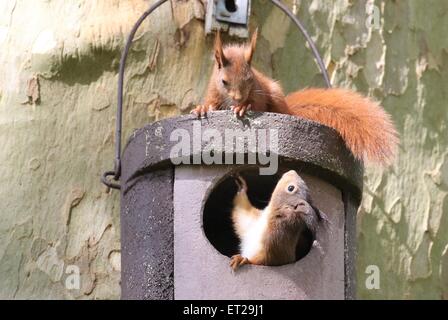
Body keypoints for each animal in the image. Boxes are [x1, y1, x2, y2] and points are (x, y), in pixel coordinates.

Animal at [192, 28, 400, 166]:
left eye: (250, 79)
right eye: (224, 81)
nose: (238, 98)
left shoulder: (259, 91)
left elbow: (256, 103)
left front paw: (244, 107)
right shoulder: (213, 92)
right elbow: (211, 104)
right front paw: (202, 108)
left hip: (276, 95)